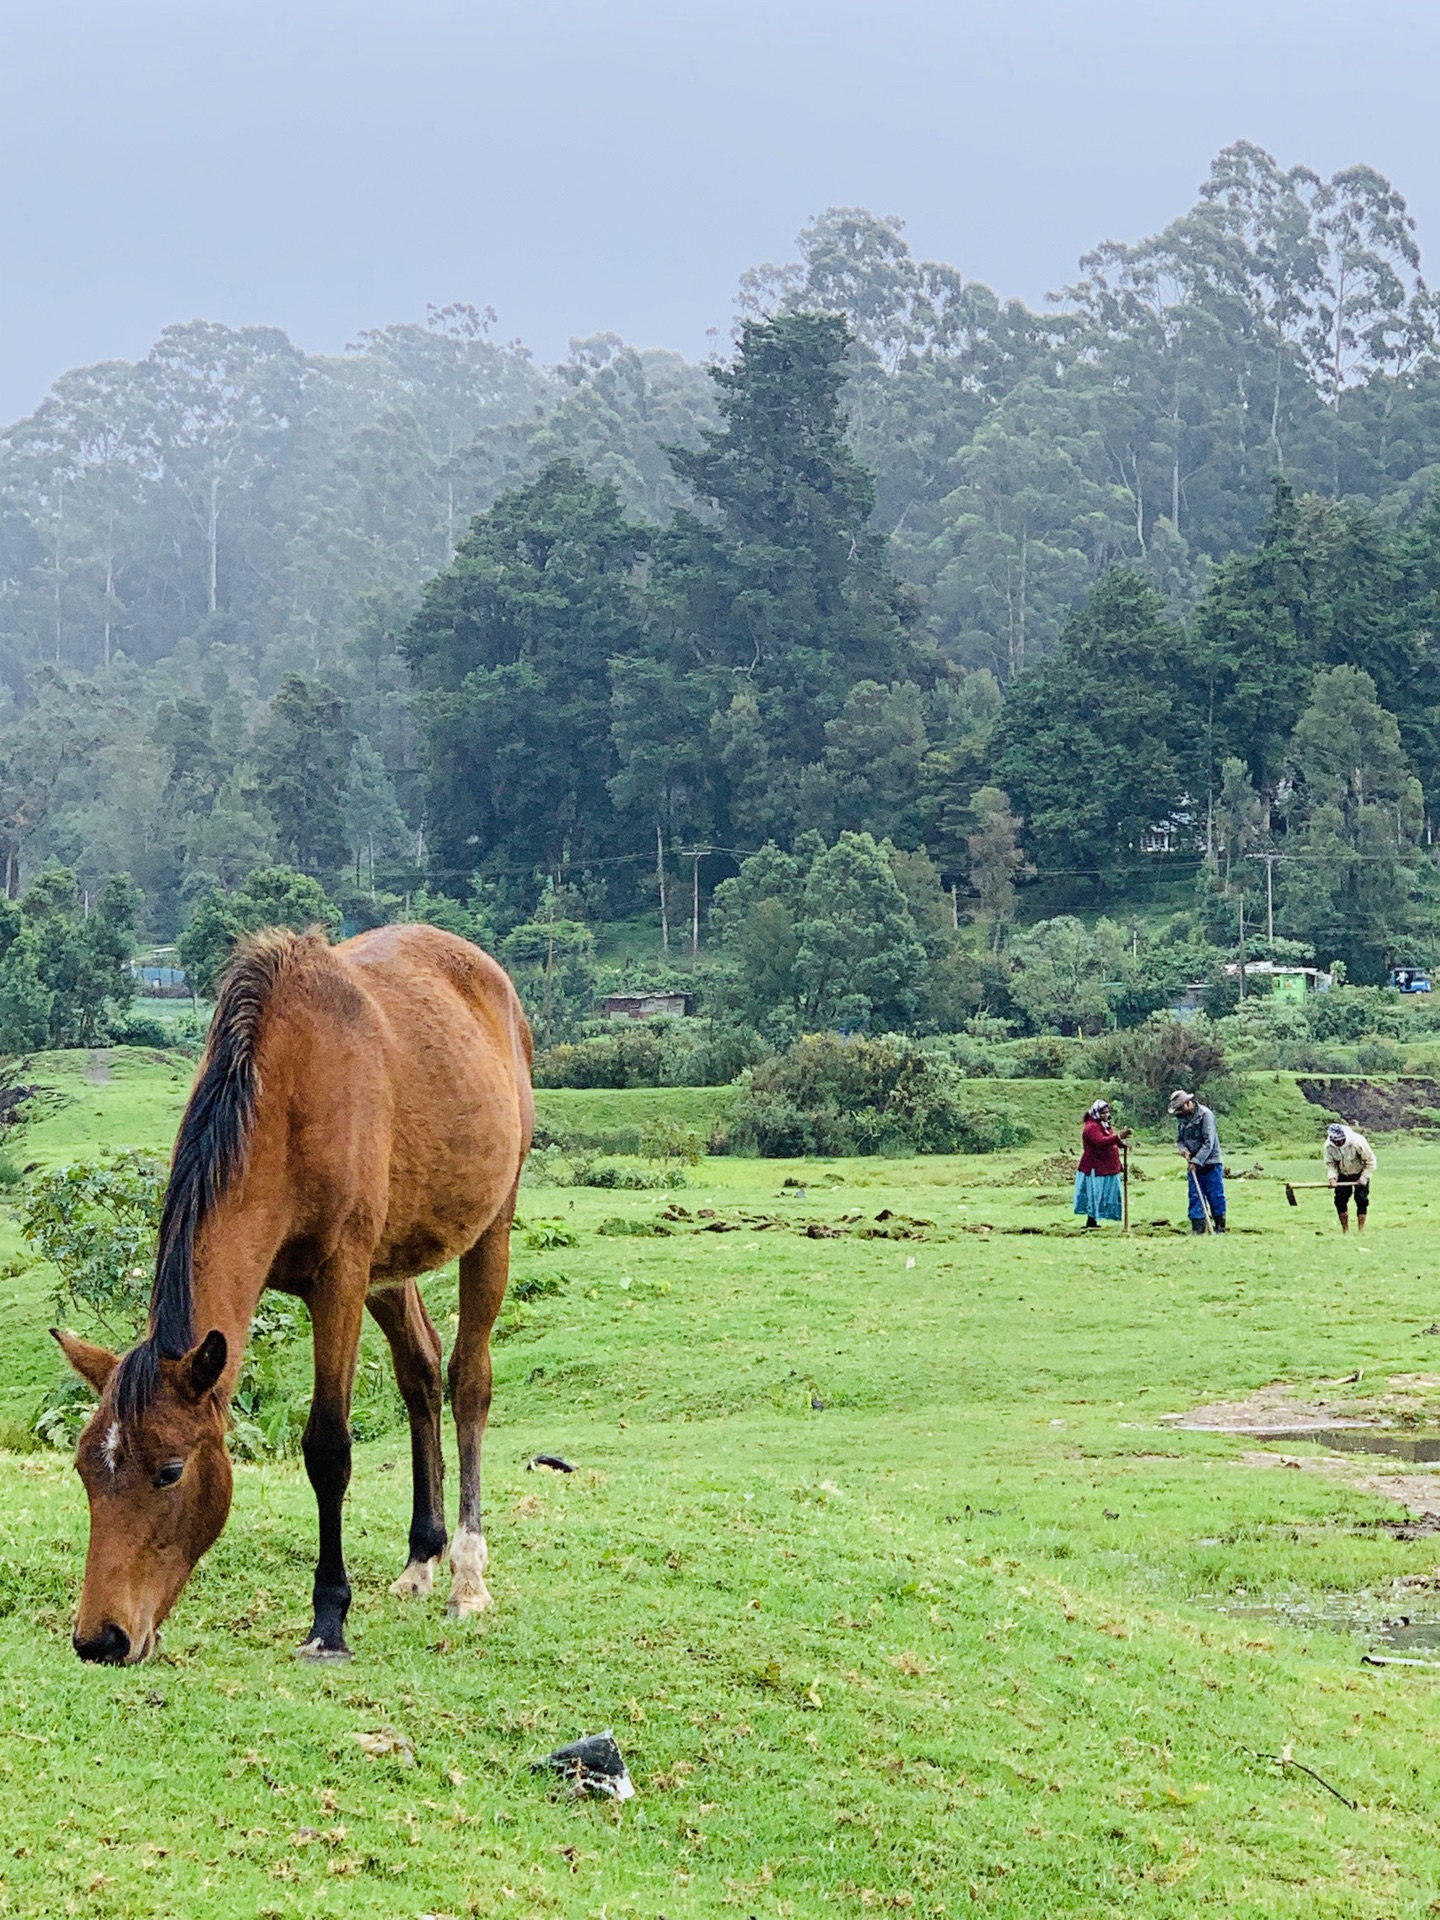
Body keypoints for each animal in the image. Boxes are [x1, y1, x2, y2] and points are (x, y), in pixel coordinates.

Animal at [52, 921, 537, 1658]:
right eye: (85, 1469)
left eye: (169, 1470)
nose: (100, 1640)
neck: (285, 1095)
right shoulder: (360, 1270)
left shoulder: (339, 1279)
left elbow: (328, 1448)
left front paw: (329, 1618)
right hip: (391, 1266)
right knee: (421, 1373)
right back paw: (421, 1558)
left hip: (489, 1229)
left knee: (468, 1382)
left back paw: (466, 1575)